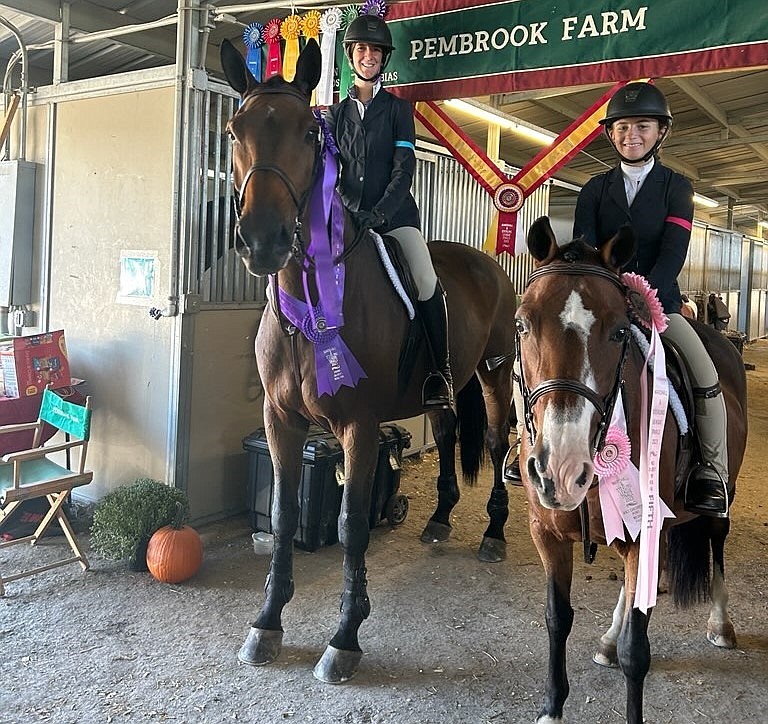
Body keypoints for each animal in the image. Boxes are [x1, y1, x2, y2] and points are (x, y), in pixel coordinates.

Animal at [218, 39, 516, 684]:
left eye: (311, 133)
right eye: (233, 130)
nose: (263, 241)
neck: (311, 307)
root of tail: (487, 263)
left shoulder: (359, 424)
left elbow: (351, 523)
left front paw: (345, 637)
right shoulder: (281, 421)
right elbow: (281, 514)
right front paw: (267, 623)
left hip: (497, 372)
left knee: (498, 439)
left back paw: (494, 533)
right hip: (444, 387)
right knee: (449, 430)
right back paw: (439, 520)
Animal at [516, 216, 744, 724]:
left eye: (621, 332)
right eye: (522, 323)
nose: (561, 470)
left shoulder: (647, 528)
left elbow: (636, 651)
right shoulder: (546, 532)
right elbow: (556, 619)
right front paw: (552, 707)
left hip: (718, 502)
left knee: (717, 547)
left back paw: (722, 625)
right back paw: (606, 640)